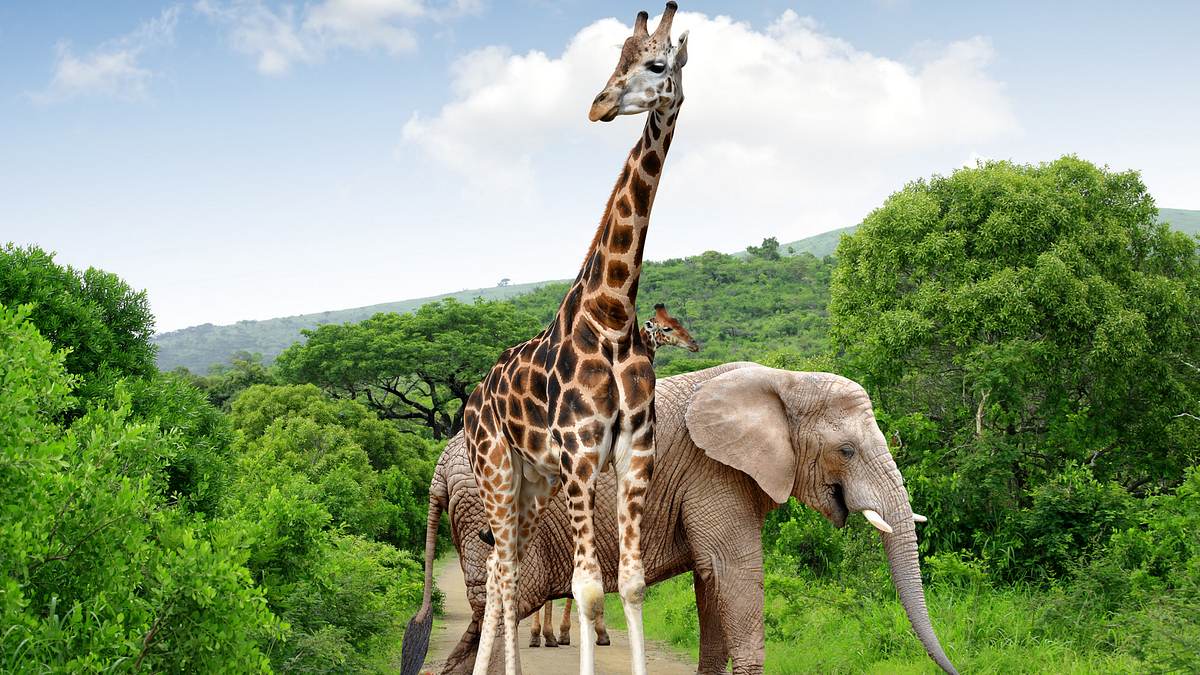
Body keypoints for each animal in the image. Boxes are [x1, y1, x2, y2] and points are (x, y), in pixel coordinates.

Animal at [528, 303, 699, 650]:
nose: (694, 345)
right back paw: (543, 634)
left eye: (677, 322)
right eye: (668, 328)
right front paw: (586, 632)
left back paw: (542, 634)